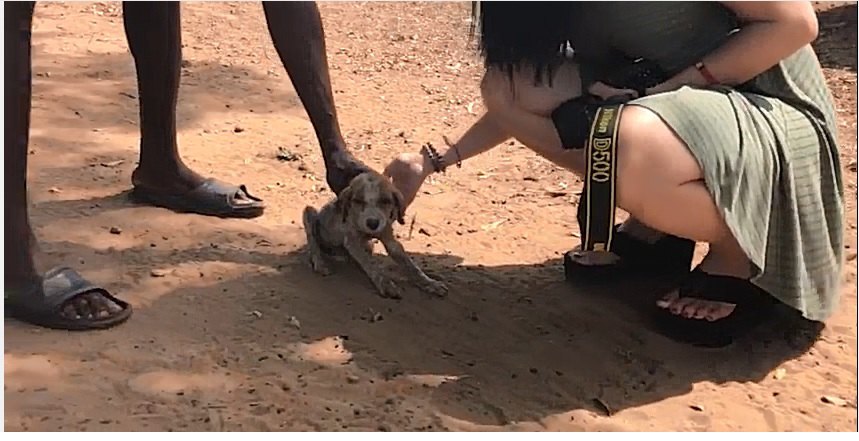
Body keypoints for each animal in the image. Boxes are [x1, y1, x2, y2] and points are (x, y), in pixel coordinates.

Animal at [302, 169, 450, 300]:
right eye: (358, 201)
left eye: (385, 201)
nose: (372, 223)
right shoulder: (352, 241)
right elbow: (370, 263)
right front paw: (385, 284)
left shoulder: (389, 238)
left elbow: (410, 265)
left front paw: (430, 283)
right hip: (310, 213)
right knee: (313, 244)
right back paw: (320, 264)